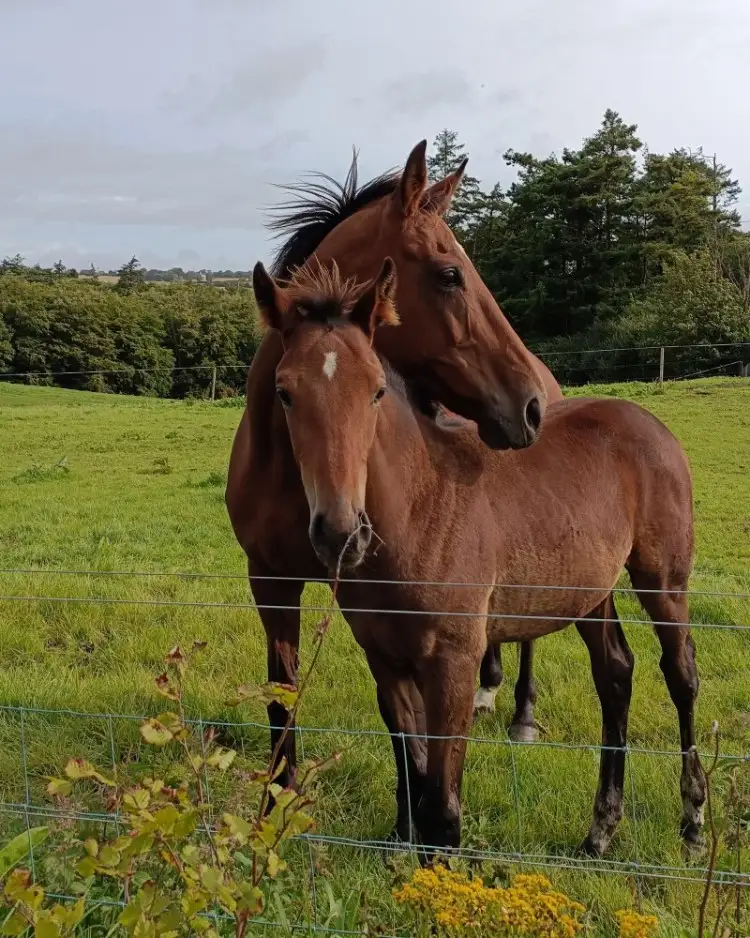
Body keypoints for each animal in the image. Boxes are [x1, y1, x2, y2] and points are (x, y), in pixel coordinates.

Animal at [229, 143, 560, 808]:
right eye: (449, 274)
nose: (530, 405)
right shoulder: (271, 581)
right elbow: (283, 697)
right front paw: (277, 805)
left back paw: (521, 713)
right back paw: (488, 688)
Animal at [256, 260, 708, 860]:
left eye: (377, 390)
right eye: (284, 392)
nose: (340, 532)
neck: (420, 508)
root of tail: (648, 421)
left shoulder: (455, 660)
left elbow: (443, 812)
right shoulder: (384, 656)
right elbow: (414, 772)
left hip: (662, 580)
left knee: (681, 674)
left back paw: (693, 820)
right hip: (589, 591)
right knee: (615, 674)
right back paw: (601, 829)